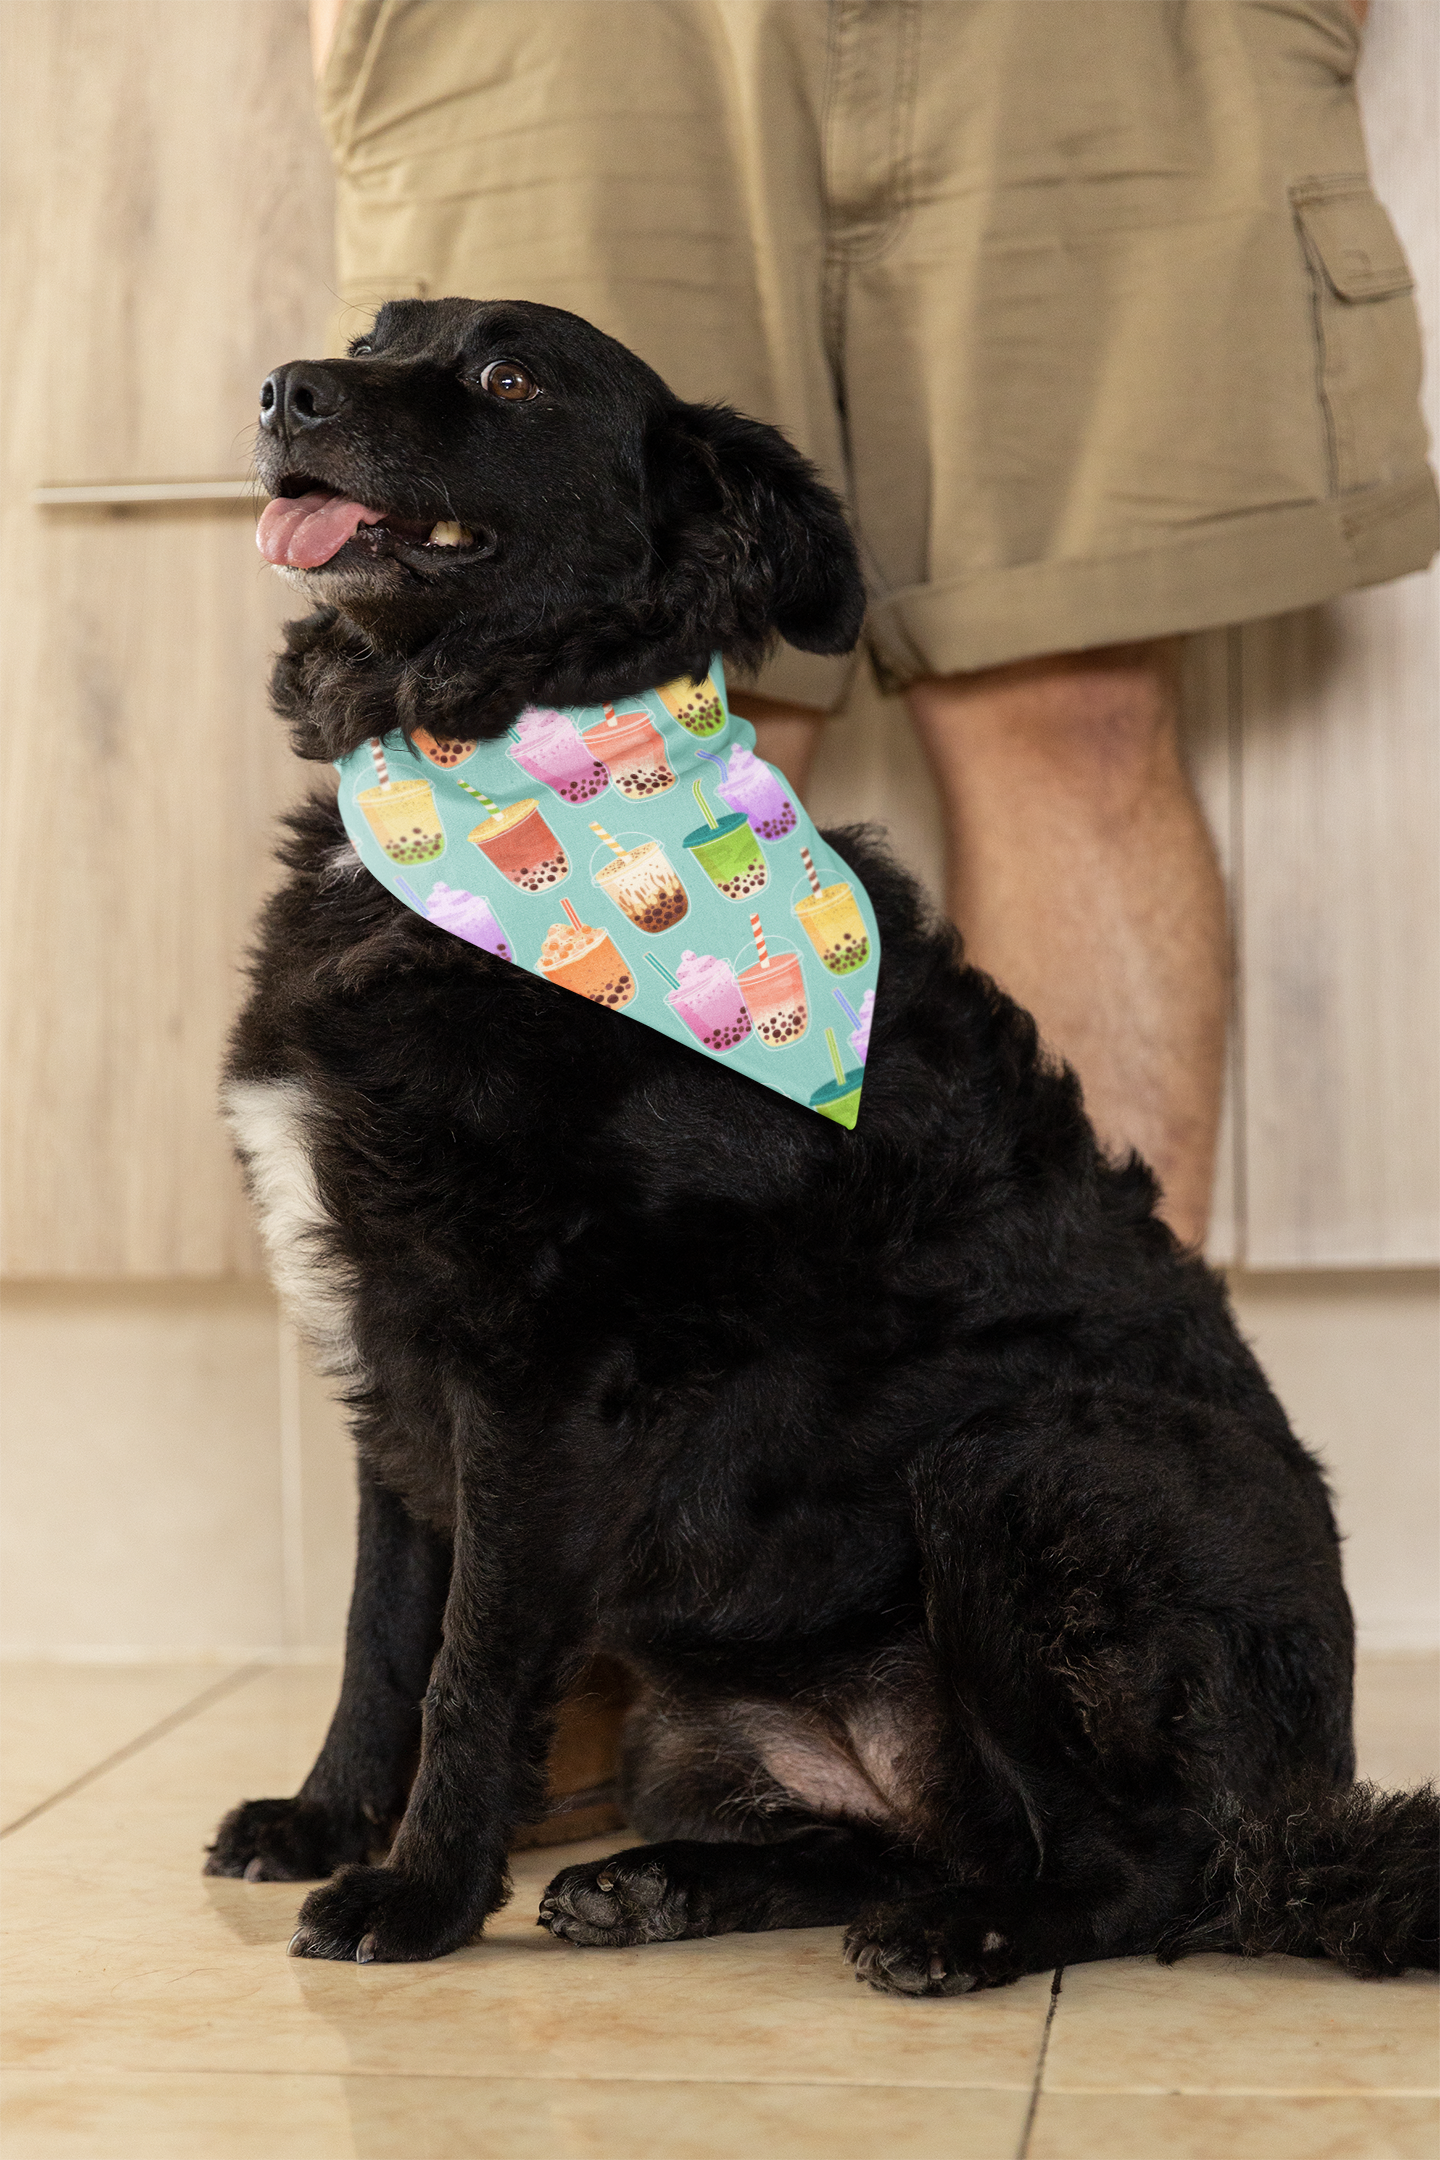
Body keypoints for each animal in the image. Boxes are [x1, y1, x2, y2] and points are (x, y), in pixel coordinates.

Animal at [208, 300, 1440, 1987]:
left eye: (506, 376)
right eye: (375, 331)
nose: (282, 391)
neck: (481, 762)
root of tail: (1304, 1812)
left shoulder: (527, 1372)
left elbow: (468, 1659)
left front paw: (417, 1892)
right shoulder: (390, 1342)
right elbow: (379, 1633)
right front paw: (326, 1820)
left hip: (1028, 1466)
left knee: (1145, 1870)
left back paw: (966, 1935)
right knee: (896, 1837)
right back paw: (663, 1881)